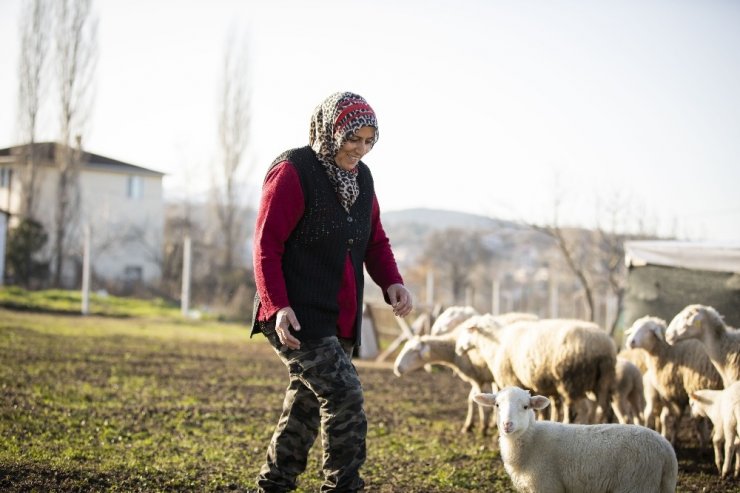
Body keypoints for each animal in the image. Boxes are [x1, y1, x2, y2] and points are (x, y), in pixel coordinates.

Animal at [456, 320, 620, 422]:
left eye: (468, 331)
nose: (458, 349)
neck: (495, 343)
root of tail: (603, 345)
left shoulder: (514, 381)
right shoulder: (543, 386)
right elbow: (547, 410)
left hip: (570, 381)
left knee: (575, 412)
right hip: (602, 381)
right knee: (606, 410)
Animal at [474, 386, 676, 490]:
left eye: (525, 407)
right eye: (497, 405)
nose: (507, 425)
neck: (532, 441)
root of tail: (667, 450)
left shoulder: (548, 484)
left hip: (635, 483)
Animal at [624, 316, 724, 446]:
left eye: (648, 330)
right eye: (635, 327)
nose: (630, 342)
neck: (670, 351)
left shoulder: (679, 393)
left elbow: (685, 419)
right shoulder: (678, 394)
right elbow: (680, 419)